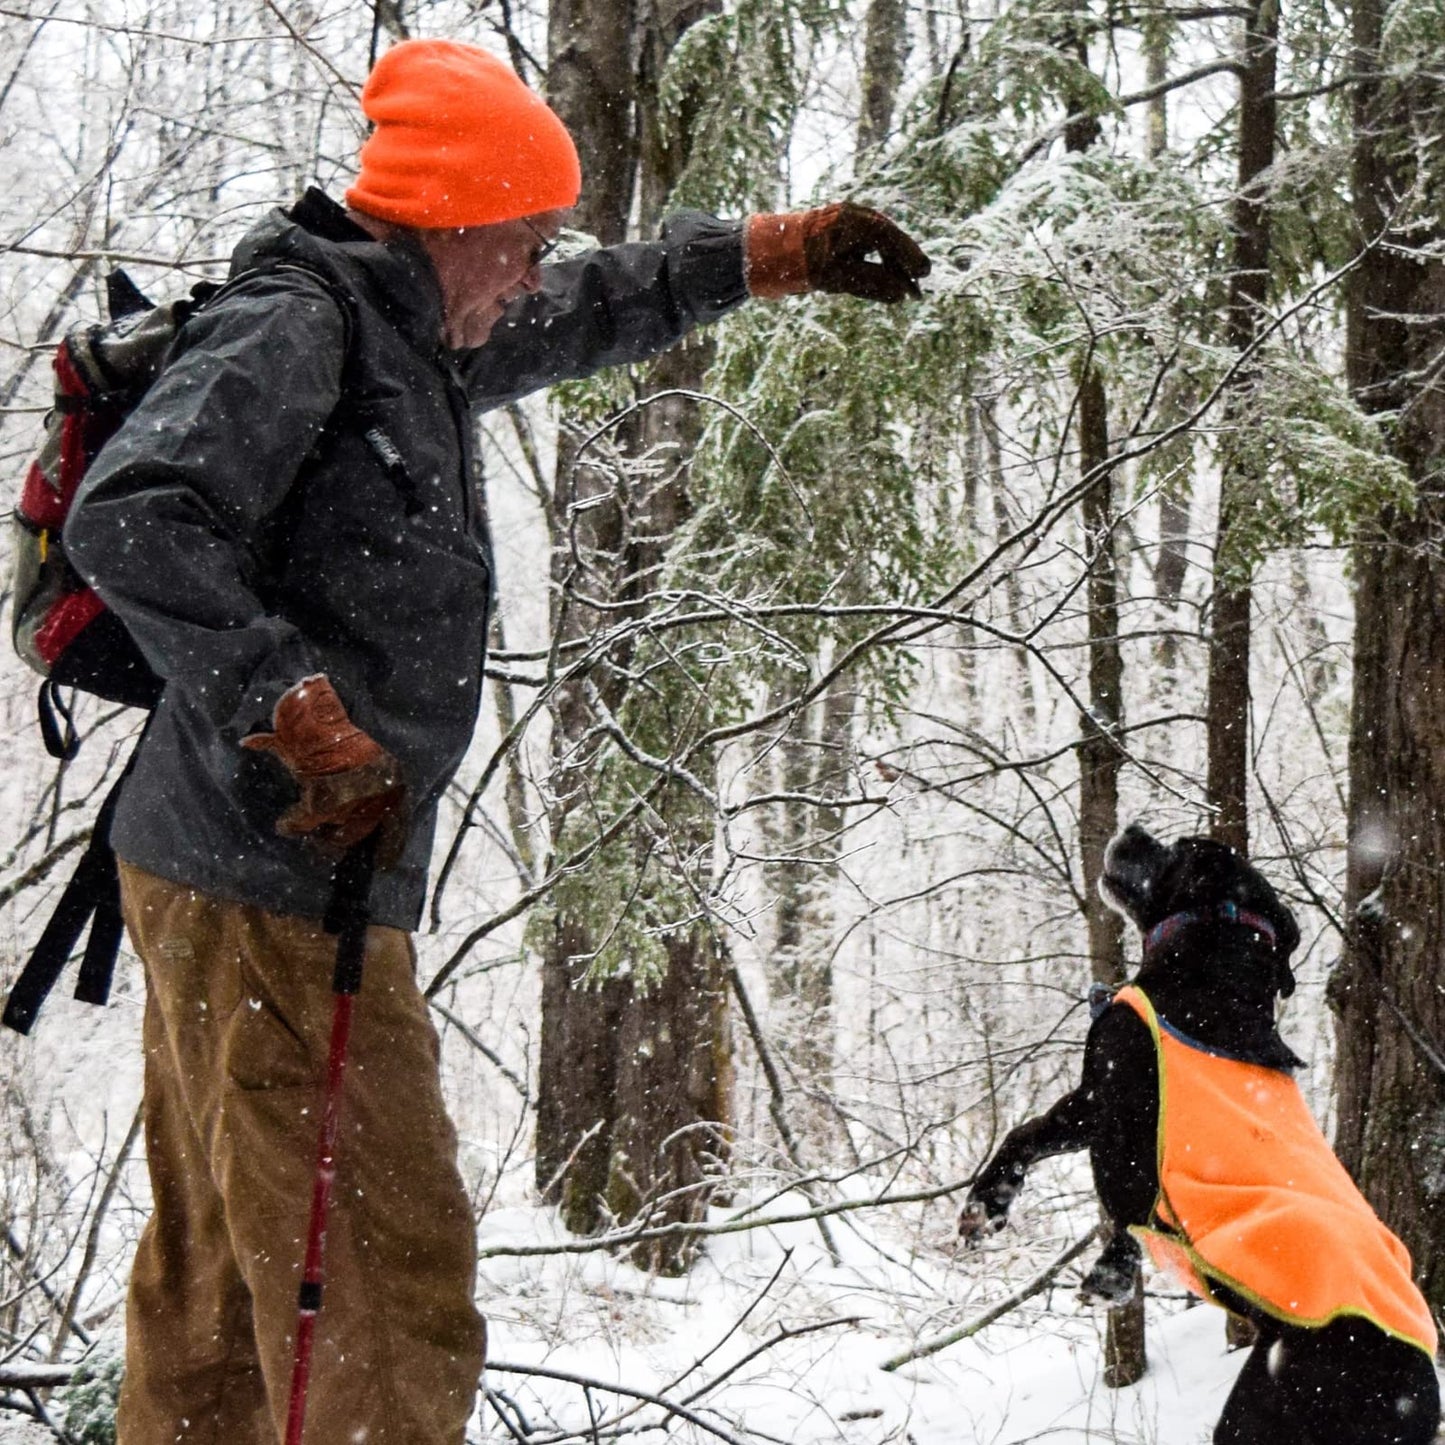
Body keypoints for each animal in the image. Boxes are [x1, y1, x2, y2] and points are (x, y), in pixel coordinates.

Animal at [953, 826, 1439, 1445]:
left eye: (1179, 846)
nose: (1133, 828)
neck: (1212, 966)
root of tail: (1415, 1396)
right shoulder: (1094, 1107)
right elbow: (1030, 1137)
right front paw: (990, 1207)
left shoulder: (1115, 1108)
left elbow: (1111, 1198)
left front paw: (1104, 1272)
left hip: (1261, 1408)